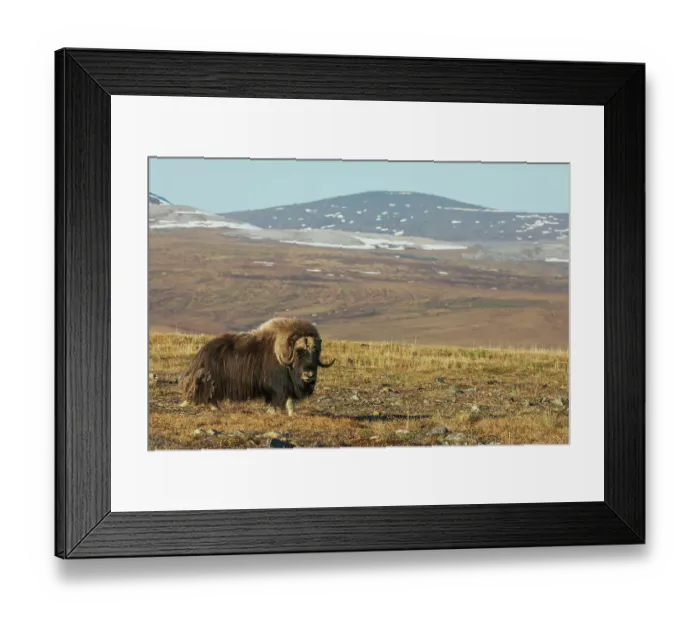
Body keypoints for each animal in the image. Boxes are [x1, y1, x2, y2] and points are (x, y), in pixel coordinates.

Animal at [178, 317, 335, 416]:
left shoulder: (289, 387)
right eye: (299, 352)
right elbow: (276, 400)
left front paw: (291, 414)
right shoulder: (278, 387)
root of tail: (200, 354)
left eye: (316, 352)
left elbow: (290, 402)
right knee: (211, 396)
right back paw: (216, 408)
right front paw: (274, 412)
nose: (309, 375)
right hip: (212, 382)